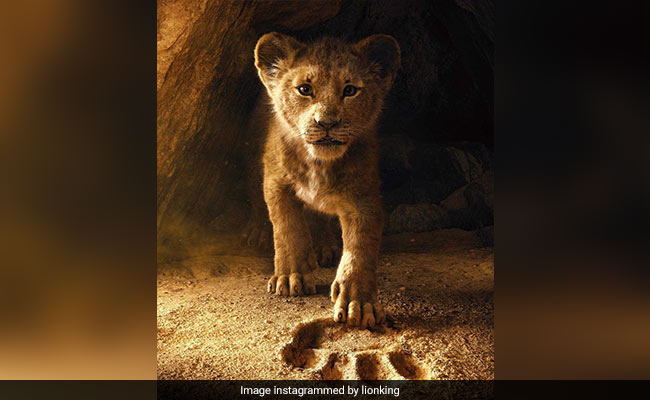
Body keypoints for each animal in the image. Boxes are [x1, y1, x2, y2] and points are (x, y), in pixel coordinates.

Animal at [253, 32, 400, 328]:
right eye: (304, 89)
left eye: (350, 90)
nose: (327, 123)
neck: (319, 163)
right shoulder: (275, 181)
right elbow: (287, 228)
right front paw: (291, 277)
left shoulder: (363, 197)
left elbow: (360, 247)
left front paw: (358, 302)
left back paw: (324, 249)